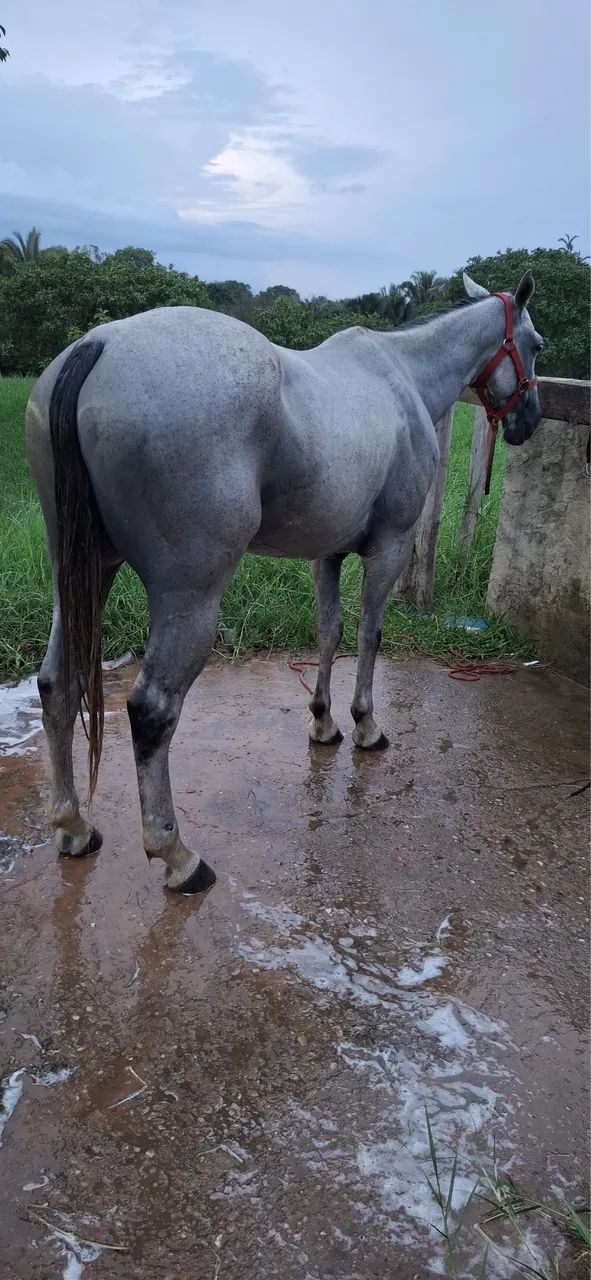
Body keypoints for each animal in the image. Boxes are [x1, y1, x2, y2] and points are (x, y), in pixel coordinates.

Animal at [25, 270, 543, 894]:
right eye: (537, 346)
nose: (530, 420)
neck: (403, 377)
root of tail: (97, 345)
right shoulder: (389, 547)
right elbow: (369, 635)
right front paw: (365, 725)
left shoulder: (330, 553)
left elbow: (329, 632)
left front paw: (323, 721)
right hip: (187, 599)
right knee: (152, 709)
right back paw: (177, 856)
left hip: (82, 575)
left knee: (57, 682)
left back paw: (73, 826)